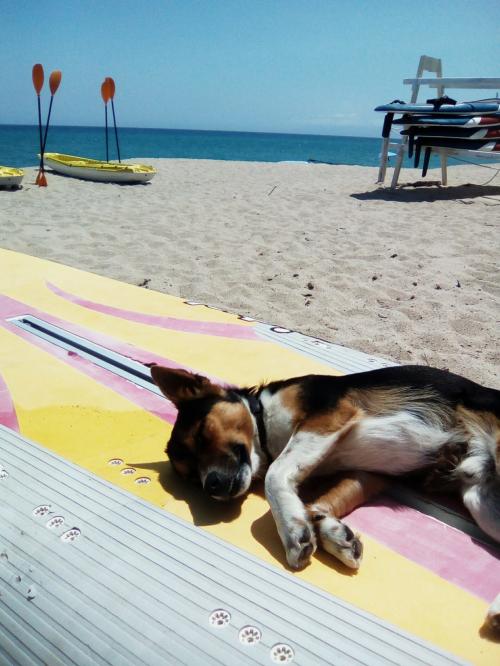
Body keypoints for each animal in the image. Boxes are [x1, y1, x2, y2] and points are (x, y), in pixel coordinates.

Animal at [151, 364, 500, 628]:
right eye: (191, 479)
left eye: (202, 434)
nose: (211, 486)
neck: (265, 426)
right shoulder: (368, 475)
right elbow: (317, 505)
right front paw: (334, 534)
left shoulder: (327, 418)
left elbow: (276, 473)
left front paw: (292, 532)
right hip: (480, 499)